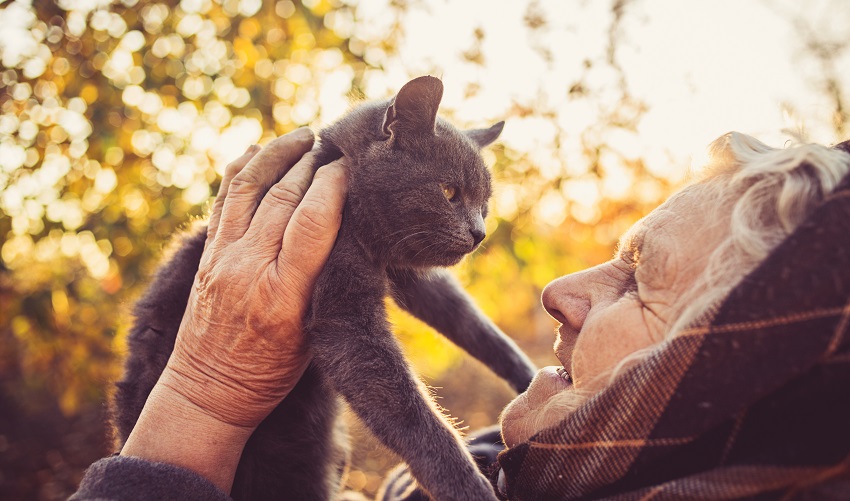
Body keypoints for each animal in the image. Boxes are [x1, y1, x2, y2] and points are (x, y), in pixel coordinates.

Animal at [111, 76, 536, 498]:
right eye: (449, 192)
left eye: (484, 204)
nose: (480, 234)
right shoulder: (344, 315)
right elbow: (409, 411)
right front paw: (466, 485)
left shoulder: (411, 274)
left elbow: (470, 322)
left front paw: (529, 378)